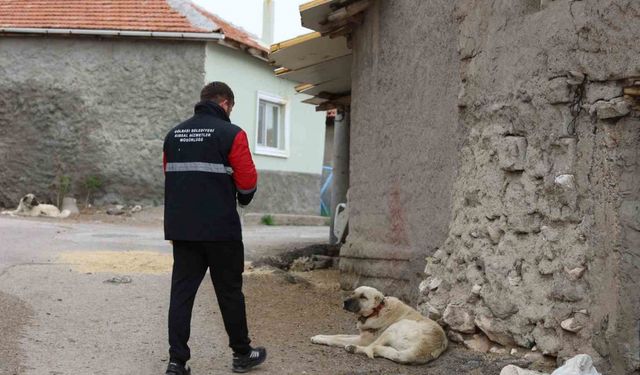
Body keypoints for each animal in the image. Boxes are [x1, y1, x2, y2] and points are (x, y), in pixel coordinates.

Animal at [312, 288, 448, 364]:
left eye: (363, 297)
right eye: (353, 293)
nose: (345, 302)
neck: (377, 310)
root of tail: (426, 347)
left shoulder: (363, 340)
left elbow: (337, 339)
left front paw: (320, 339)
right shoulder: (361, 335)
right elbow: (338, 334)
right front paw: (319, 336)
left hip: (394, 328)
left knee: (371, 348)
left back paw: (352, 348)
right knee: (381, 351)